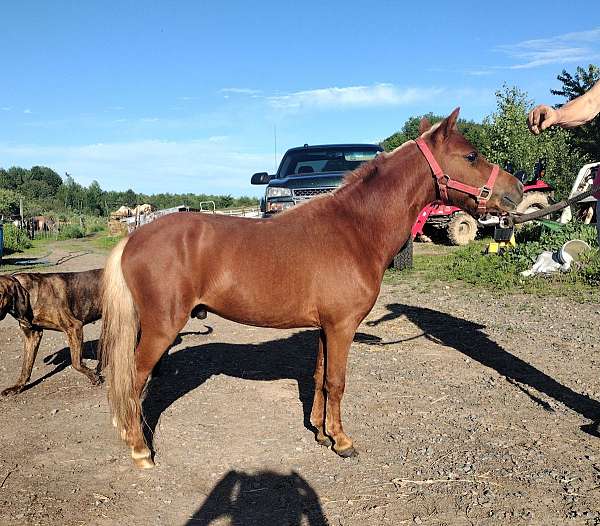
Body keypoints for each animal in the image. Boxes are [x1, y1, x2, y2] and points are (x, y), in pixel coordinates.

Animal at [101, 109, 524, 472]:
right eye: (471, 156)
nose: (517, 190)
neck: (354, 229)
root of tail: (134, 238)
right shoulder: (342, 327)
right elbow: (336, 382)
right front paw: (342, 441)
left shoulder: (325, 328)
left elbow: (320, 377)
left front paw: (321, 433)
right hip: (161, 328)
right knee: (133, 381)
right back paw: (141, 451)